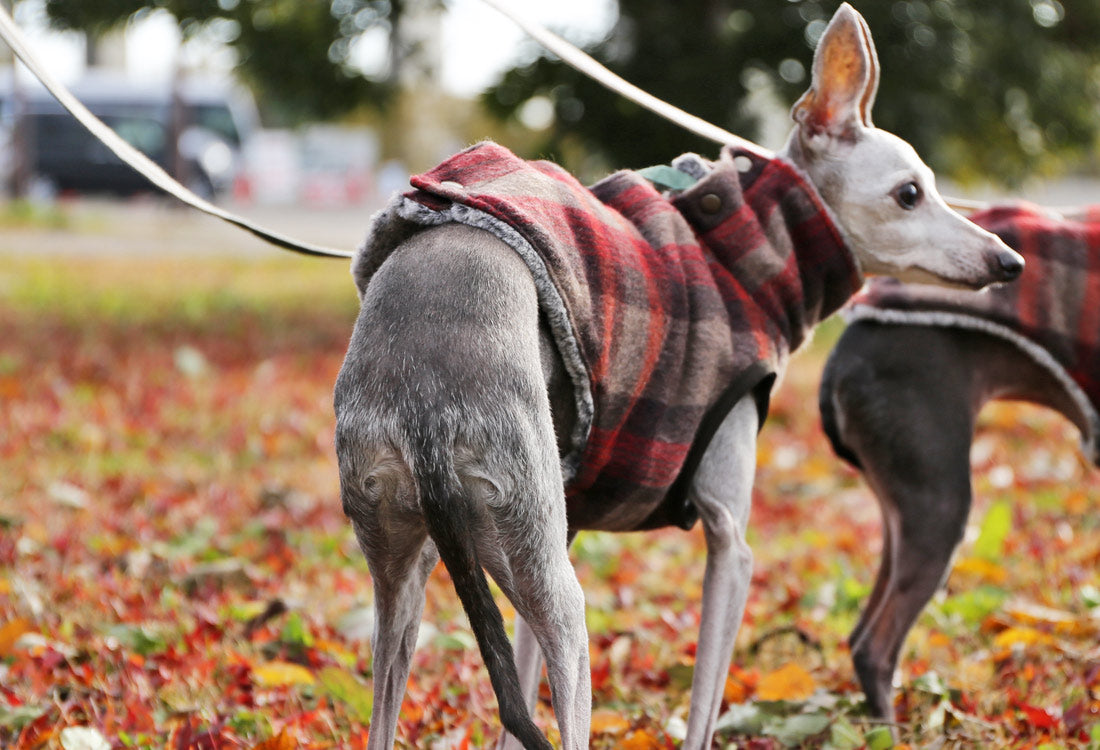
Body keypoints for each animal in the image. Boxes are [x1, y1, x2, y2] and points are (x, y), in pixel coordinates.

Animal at [330, 2, 1025, 743]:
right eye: (909, 193)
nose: (1008, 261)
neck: (746, 247)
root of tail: (427, 407)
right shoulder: (730, 540)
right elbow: (701, 709)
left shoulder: (566, 528)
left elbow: (512, 703)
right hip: (556, 587)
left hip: (417, 571)